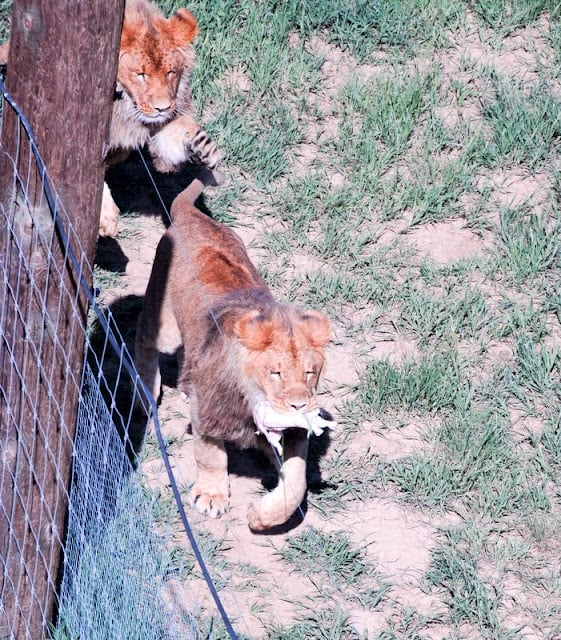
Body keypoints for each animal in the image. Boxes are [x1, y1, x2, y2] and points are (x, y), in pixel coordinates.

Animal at [99, 0, 220, 238]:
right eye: (140, 74)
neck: (124, 106)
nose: (162, 108)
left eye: (170, 72)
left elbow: (178, 132)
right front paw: (105, 216)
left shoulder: (159, 124)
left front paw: (204, 148)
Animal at [133, 169, 330, 528]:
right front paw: (211, 497)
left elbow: (297, 479)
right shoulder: (208, 411)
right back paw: (145, 393)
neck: (249, 403)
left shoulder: (293, 433)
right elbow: (210, 454)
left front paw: (263, 516)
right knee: (144, 336)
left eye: (310, 372)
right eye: (275, 373)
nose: (298, 405)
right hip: (163, 320)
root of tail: (192, 216)